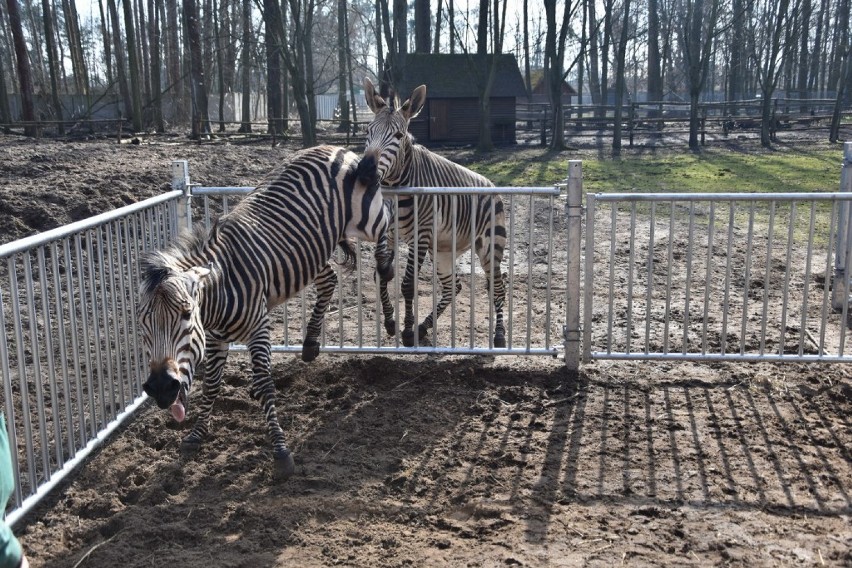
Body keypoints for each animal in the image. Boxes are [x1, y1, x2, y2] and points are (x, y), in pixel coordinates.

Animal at [138, 145, 394, 480]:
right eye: (142, 324)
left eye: (185, 314)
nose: (159, 388)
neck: (219, 293)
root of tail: (328, 147)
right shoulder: (215, 338)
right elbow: (212, 384)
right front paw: (196, 435)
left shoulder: (259, 327)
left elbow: (263, 385)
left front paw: (281, 452)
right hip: (310, 253)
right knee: (329, 279)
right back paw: (310, 343)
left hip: (367, 218)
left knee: (387, 222)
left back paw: (389, 301)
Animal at [360, 77, 506, 348]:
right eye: (367, 132)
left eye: (398, 135)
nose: (364, 172)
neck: (397, 187)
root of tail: (491, 185)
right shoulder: (390, 234)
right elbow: (381, 276)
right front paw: (391, 322)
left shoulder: (420, 237)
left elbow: (408, 284)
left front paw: (407, 332)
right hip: (442, 251)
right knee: (453, 287)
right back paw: (425, 325)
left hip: (490, 246)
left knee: (497, 287)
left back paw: (500, 335)